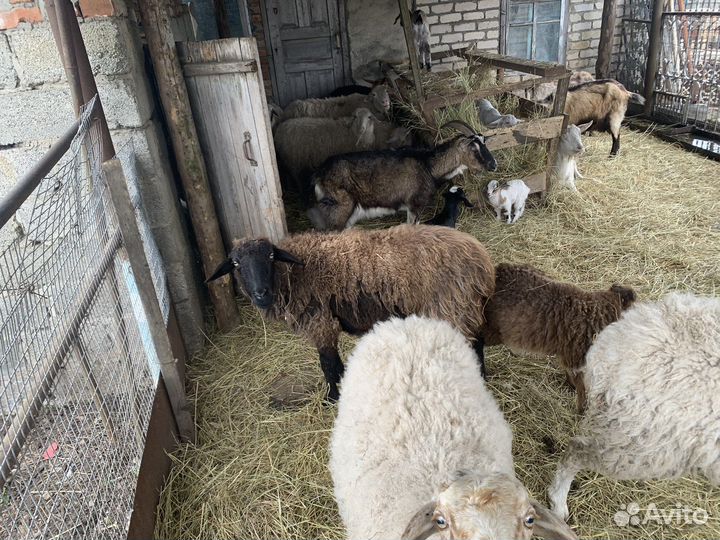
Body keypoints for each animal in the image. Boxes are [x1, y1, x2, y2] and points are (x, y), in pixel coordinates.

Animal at [206, 224, 495, 401]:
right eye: (236, 263)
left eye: (269, 257)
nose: (261, 294)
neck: (293, 273)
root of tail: (481, 257)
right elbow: (335, 364)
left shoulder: (321, 322)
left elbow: (328, 364)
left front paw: (331, 398)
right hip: (463, 306)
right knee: (478, 342)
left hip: (453, 304)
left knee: (471, 344)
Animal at [308, 120, 497, 230]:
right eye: (474, 148)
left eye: (484, 143)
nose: (494, 165)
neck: (428, 166)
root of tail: (318, 175)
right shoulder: (415, 205)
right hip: (339, 210)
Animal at [482, 263, 636, 412]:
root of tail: (497, 271)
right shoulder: (576, 357)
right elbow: (582, 388)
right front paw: (581, 411)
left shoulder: (567, 353)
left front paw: (571, 387)